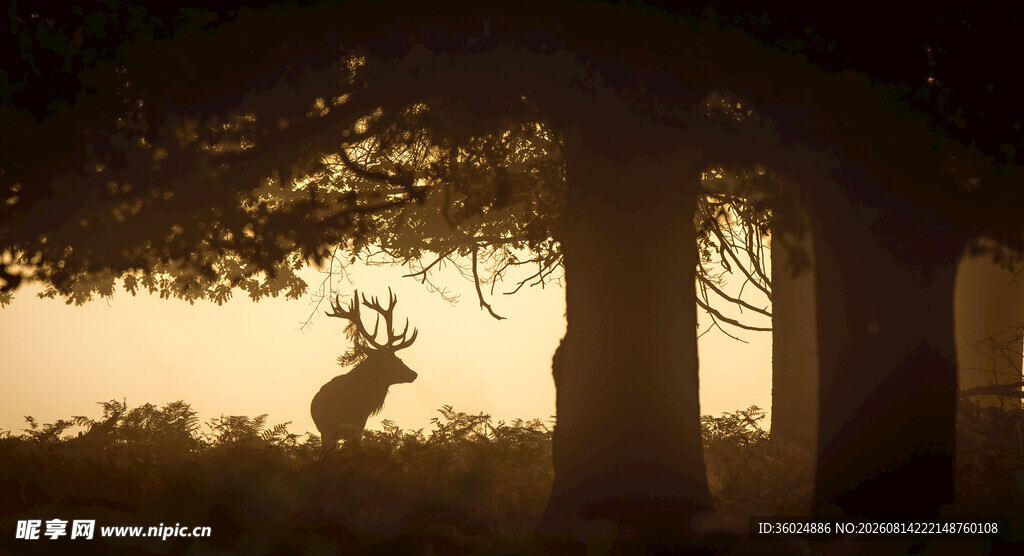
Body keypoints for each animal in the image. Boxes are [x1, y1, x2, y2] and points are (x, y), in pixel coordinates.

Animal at [311, 288, 418, 454]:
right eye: (393, 360)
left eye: (398, 358)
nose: (413, 374)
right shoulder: (332, 428)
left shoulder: (359, 426)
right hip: (326, 430)